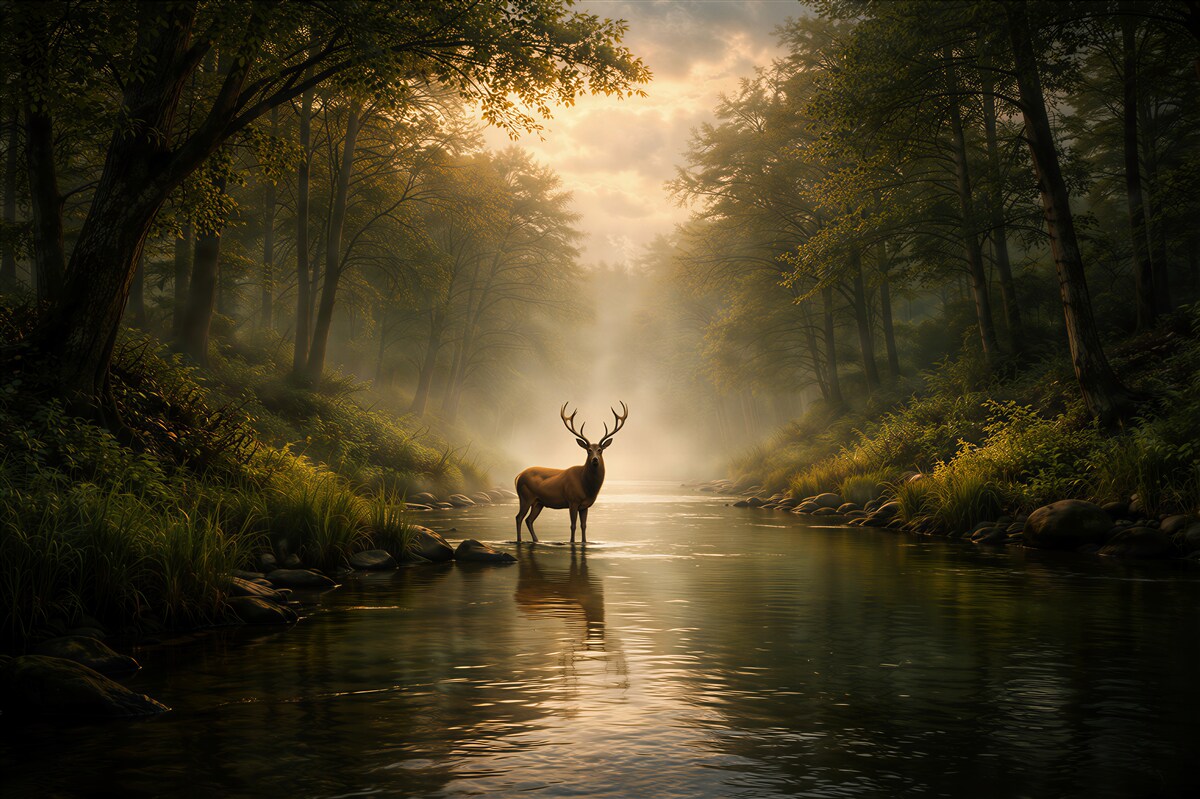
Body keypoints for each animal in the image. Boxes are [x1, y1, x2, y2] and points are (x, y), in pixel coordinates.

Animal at [514, 401, 628, 544]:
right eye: (588, 450)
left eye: (600, 450)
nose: (595, 459)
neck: (586, 486)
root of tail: (518, 476)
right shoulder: (572, 500)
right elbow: (573, 525)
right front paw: (571, 542)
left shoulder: (585, 506)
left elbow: (583, 525)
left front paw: (584, 542)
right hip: (525, 496)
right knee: (519, 517)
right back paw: (519, 540)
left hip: (538, 502)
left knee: (528, 520)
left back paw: (536, 540)